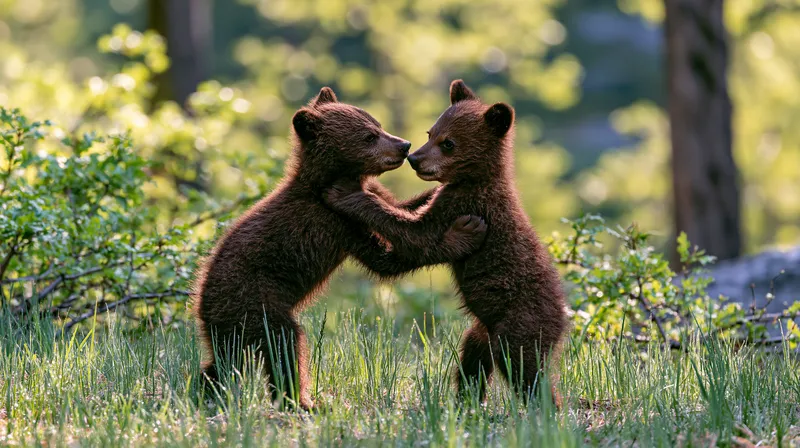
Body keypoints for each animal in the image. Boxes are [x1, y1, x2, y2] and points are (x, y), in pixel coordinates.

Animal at [192, 87, 488, 410]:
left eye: (378, 124)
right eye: (369, 136)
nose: (404, 145)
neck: (333, 179)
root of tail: (202, 306)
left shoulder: (360, 202)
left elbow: (398, 207)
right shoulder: (335, 223)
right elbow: (390, 259)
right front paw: (465, 231)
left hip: (231, 329)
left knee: (223, 362)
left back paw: (204, 390)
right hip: (257, 302)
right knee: (284, 346)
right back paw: (302, 401)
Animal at [323, 80, 570, 407]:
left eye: (449, 142)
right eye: (431, 133)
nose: (414, 158)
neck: (475, 179)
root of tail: (563, 318)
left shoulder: (466, 204)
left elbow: (417, 235)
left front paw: (347, 194)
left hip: (520, 323)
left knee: (524, 369)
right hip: (482, 330)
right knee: (473, 360)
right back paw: (467, 400)